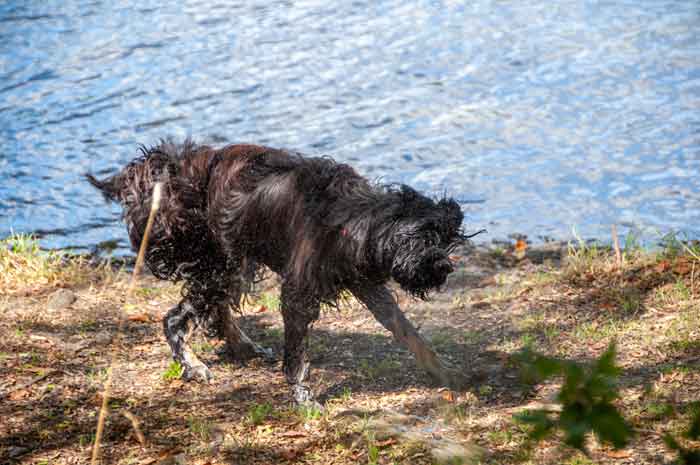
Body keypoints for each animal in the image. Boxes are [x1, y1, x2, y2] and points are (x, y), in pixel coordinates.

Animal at [89, 140, 470, 404]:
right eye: (422, 238)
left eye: (445, 240)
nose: (445, 268)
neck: (350, 219)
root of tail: (167, 170)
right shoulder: (298, 292)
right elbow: (297, 355)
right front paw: (303, 397)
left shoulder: (366, 285)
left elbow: (408, 333)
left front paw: (445, 372)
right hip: (215, 263)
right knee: (175, 318)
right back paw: (193, 366)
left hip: (230, 262)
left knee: (216, 310)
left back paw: (243, 347)